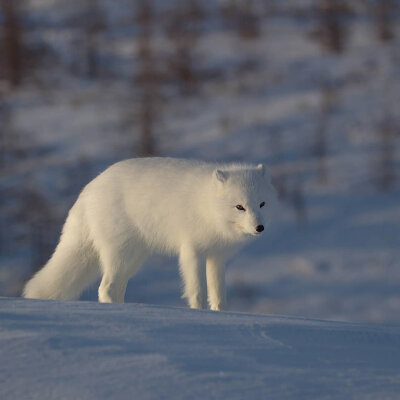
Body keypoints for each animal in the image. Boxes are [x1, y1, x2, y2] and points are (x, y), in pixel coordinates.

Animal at [23, 158, 276, 310]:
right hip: (120, 255)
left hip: (133, 259)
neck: (207, 206)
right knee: (105, 288)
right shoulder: (191, 251)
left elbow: (218, 294)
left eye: (262, 204)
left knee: (116, 287)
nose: (259, 228)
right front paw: (199, 314)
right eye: (240, 207)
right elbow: (197, 291)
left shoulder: (216, 257)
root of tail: (89, 188)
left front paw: (220, 315)